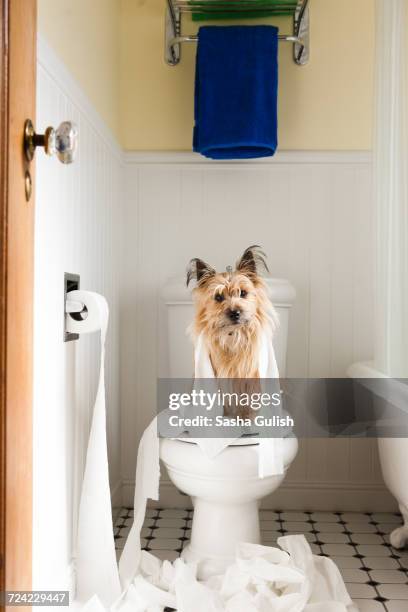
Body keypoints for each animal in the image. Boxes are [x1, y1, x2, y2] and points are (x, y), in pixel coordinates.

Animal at [187, 246, 278, 418]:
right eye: (218, 297)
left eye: (243, 293)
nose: (235, 313)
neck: (234, 335)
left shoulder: (250, 378)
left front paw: (246, 418)